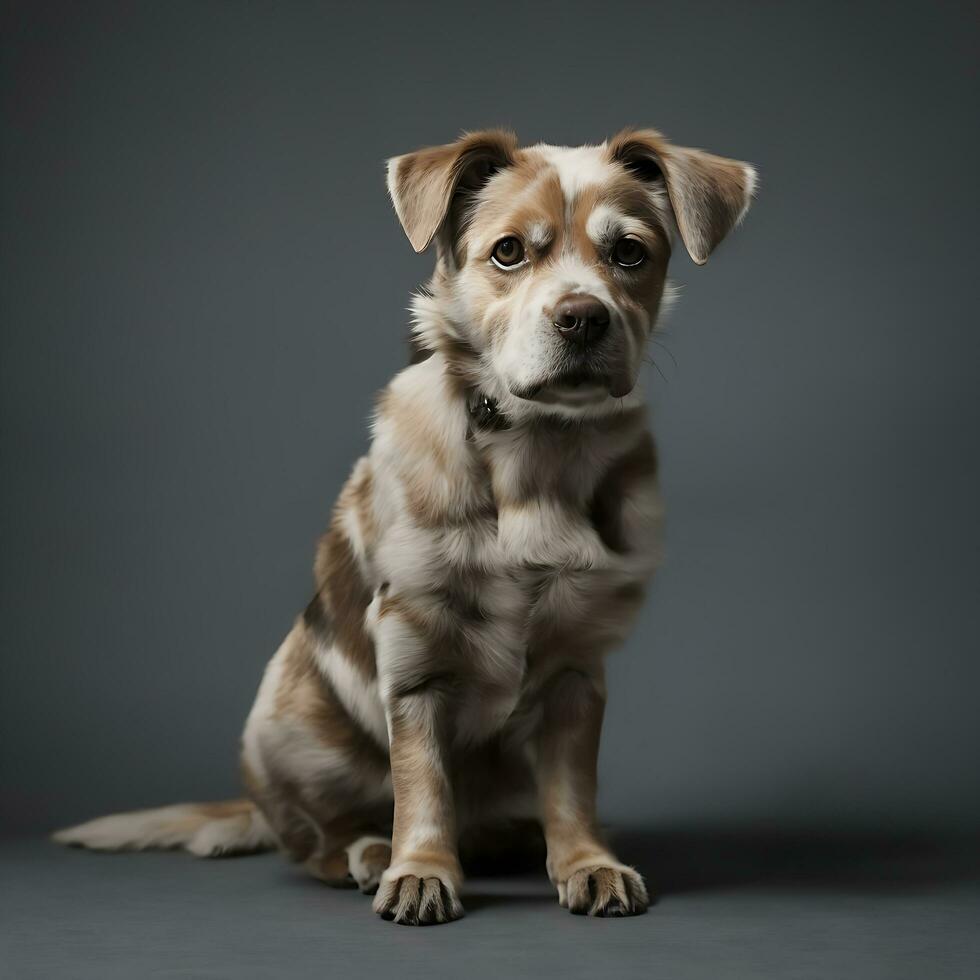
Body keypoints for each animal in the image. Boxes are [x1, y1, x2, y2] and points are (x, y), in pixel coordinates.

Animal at [55, 126, 756, 924]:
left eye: (631, 253)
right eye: (508, 252)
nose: (583, 316)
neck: (537, 454)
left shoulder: (579, 668)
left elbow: (572, 788)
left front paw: (587, 861)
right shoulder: (413, 655)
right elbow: (421, 783)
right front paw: (419, 869)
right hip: (286, 724)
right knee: (317, 838)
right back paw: (365, 852)